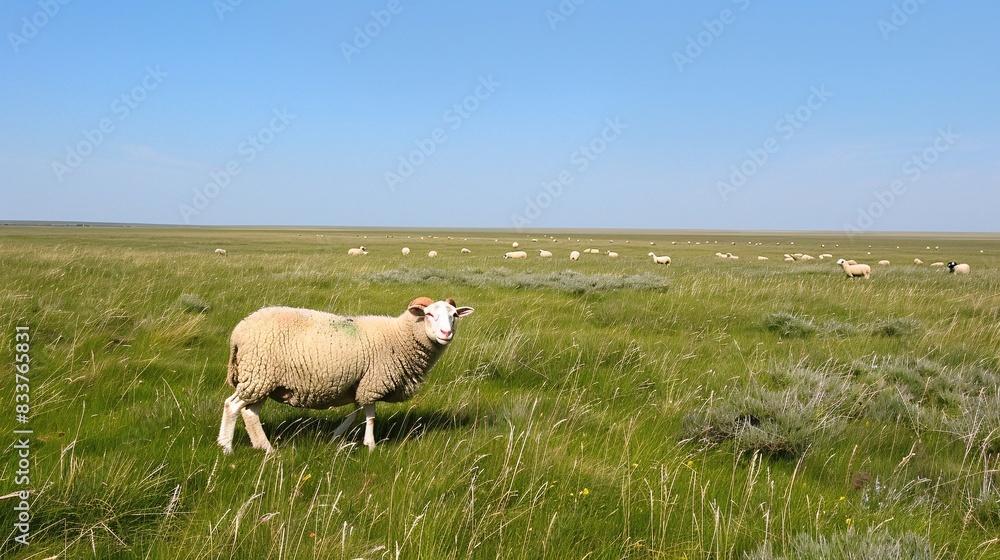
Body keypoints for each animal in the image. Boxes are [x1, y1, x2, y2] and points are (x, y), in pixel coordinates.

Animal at [218, 297, 474, 453]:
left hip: (264, 381)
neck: (398, 336)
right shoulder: (374, 380)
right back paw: (227, 447)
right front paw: (371, 445)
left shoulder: (361, 382)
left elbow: (358, 410)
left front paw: (336, 435)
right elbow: (370, 415)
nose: (446, 333)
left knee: (250, 413)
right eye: (429, 314)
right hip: (258, 374)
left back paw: (264, 448)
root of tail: (238, 331)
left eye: (454, 315)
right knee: (233, 406)